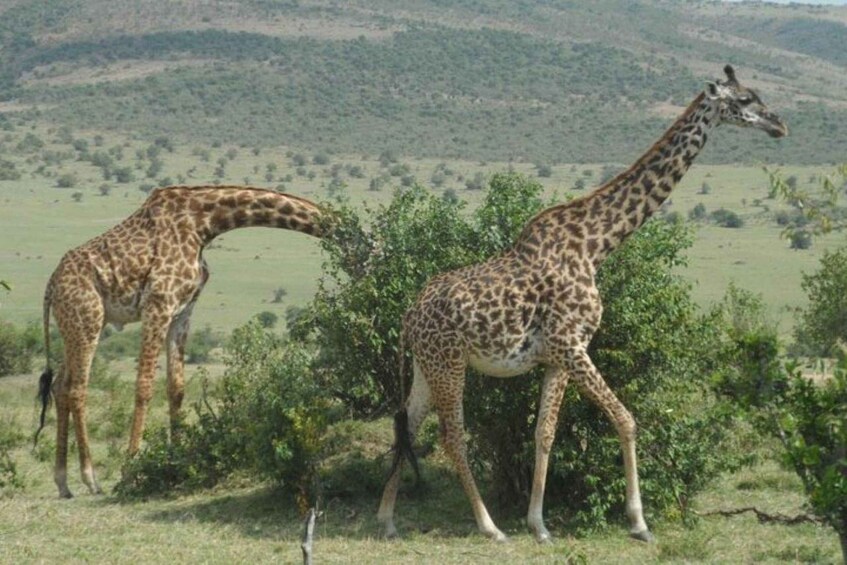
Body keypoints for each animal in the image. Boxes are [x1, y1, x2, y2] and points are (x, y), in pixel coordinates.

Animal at [35, 185, 330, 498]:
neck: (205, 224)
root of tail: (50, 286)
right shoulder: (158, 304)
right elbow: (144, 387)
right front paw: (130, 473)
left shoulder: (183, 310)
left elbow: (176, 388)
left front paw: (176, 463)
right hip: (87, 320)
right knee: (78, 389)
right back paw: (91, 479)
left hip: (80, 326)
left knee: (60, 386)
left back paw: (63, 482)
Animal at [378, 65, 787, 543]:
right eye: (743, 100)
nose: (779, 124)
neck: (596, 246)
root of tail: (409, 315)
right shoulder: (572, 344)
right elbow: (626, 419)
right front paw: (639, 522)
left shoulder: (556, 356)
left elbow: (544, 433)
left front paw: (539, 525)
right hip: (450, 363)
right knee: (452, 436)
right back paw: (489, 526)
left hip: (427, 365)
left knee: (407, 423)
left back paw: (387, 519)